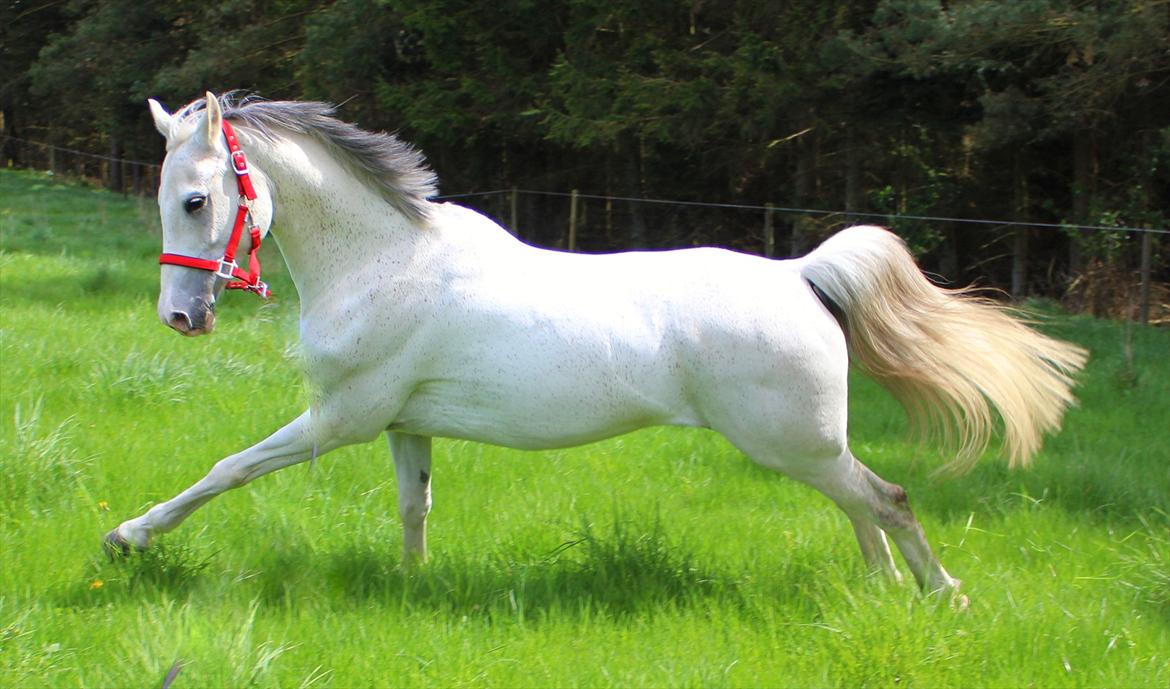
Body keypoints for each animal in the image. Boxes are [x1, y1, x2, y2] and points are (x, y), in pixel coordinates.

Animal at [105, 92, 1087, 600]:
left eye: (195, 199)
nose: (181, 318)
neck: (384, 260)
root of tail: (802, 274)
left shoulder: (340, 415)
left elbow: (227, 468)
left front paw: (128, 536)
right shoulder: (404, 423)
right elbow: (415, 509)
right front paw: (414, 587)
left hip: (792, 442)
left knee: (888, 497)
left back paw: (940, 593)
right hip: (805, 448)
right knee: (864, 506)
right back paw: (881, 590)